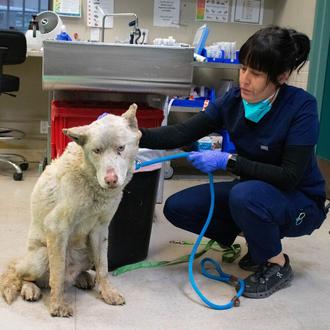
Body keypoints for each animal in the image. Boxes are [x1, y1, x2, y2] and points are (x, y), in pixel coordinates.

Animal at [0, 103, 141, 318]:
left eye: (121, 148)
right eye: (97, 151)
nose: (110, 180)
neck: (89, 179)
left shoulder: (100, 231)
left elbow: (103, 267)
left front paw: (107, 293)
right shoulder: (57, 228)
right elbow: (57, 276)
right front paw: (57, 306)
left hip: (87, 252)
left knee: (79, 273)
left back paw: (83, 277)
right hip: (41, 256)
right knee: (22, 274)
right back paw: (30, 289)